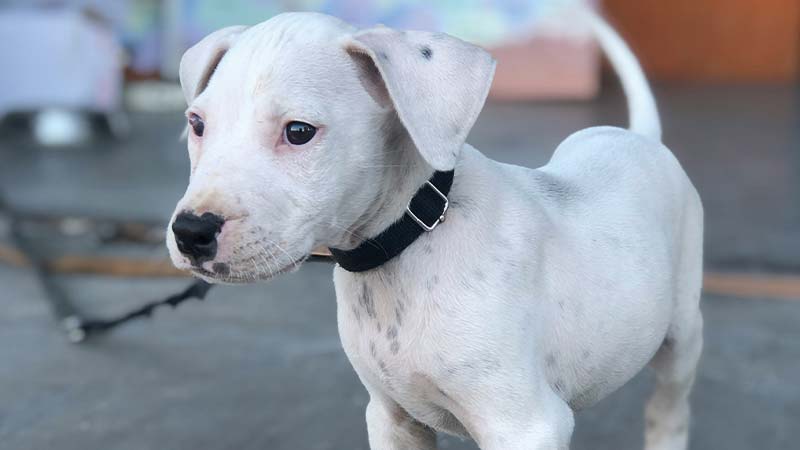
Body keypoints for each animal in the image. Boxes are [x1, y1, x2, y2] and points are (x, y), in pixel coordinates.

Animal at [167, 7, 700, 450]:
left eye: (299, 131)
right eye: (197, 123)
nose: (191, 233)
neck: (412, 239)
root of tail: (638, 138)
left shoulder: (526, 424)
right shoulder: (392, 418)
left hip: (681, 337)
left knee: (669, 408)